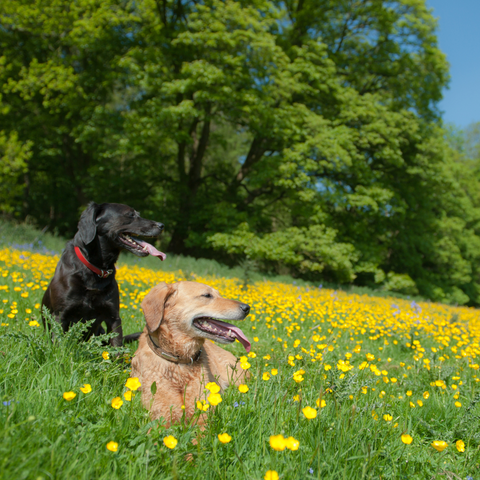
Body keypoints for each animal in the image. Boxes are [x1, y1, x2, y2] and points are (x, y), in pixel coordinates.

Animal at [41, 202, 165, 344]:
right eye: (131, 214)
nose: (162, 225)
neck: (96, 268)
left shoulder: (113, 316)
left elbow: (117, 345)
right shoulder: (60, 315)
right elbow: (59, 342)